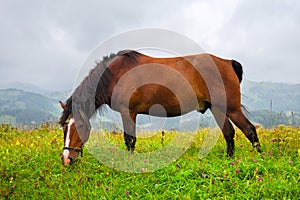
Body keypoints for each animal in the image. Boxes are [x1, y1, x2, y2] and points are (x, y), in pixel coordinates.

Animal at [58, 49, 260, 166]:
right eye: (64, 128)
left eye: (80, 126)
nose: (66, 159)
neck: (115, 73)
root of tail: (228, 62)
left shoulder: (128, 111)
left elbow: (129, 140)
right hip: (218, 109)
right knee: (229, 133)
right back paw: (229, 161)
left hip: (232, 109)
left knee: (249, 130)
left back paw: (260, 158)